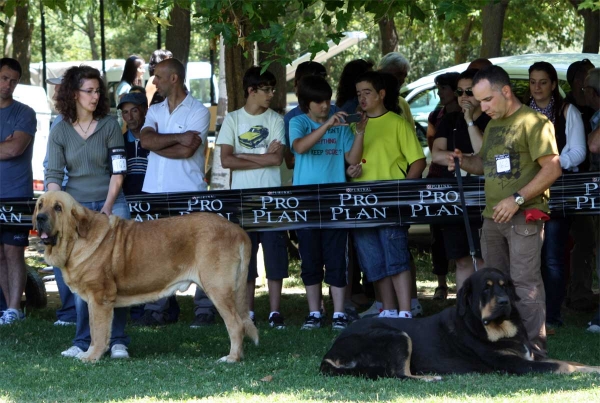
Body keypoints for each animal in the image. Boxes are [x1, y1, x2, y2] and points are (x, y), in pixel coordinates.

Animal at [33, 191, 258, 364]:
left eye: (58, 207)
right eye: (40, 205)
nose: (40, 218)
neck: (75, 240)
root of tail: (239, 231)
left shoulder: (100, 298)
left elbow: (98, 332)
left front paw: (92, 357)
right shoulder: (93, 301)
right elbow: (93, 331)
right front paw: (88, 353)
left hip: (218, 290)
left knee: (236, 325)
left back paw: (231, 358)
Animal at [322, 268, 600, 382]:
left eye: (505, 286)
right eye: (485, 290)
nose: (504, 301)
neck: (497, 328)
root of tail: (331, 350)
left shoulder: (531, 357)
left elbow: (574, 362)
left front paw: (594, 368)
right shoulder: (517, 365)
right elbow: (563, 366)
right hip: (397, 335)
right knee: (397, 374)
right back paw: (430, 378)